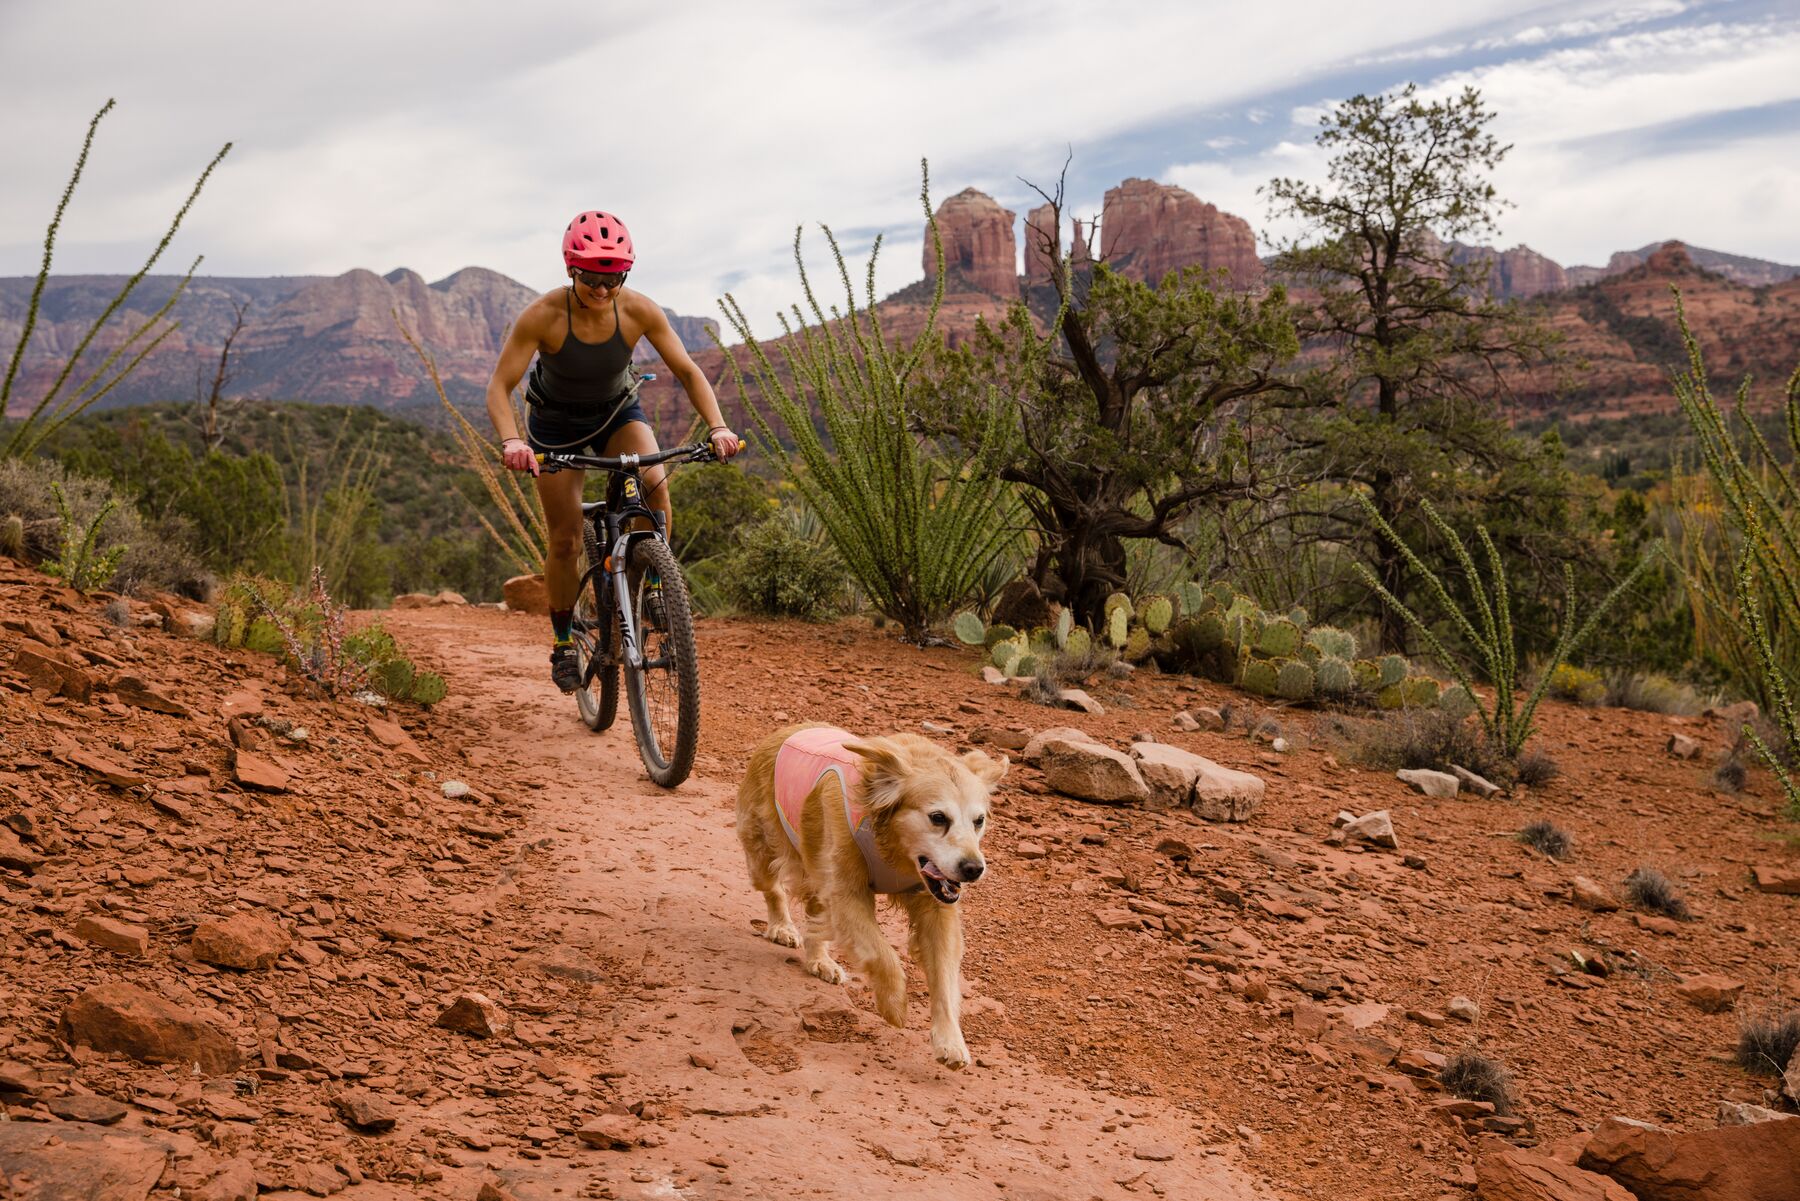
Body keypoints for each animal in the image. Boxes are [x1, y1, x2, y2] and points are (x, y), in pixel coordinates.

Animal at [734, 723, 1015, 1073]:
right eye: (938, 817)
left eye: (979, 820)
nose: (974, 868)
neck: (893, 844)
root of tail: (792, 728)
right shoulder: (847, 894)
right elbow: (884, 956)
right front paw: (894, 1005)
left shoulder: (937, 908)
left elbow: (945, 977)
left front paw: (950, 1040)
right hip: (763, 848)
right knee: (773, 889)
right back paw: (782, 928)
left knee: (815, 916)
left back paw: (819, 961)